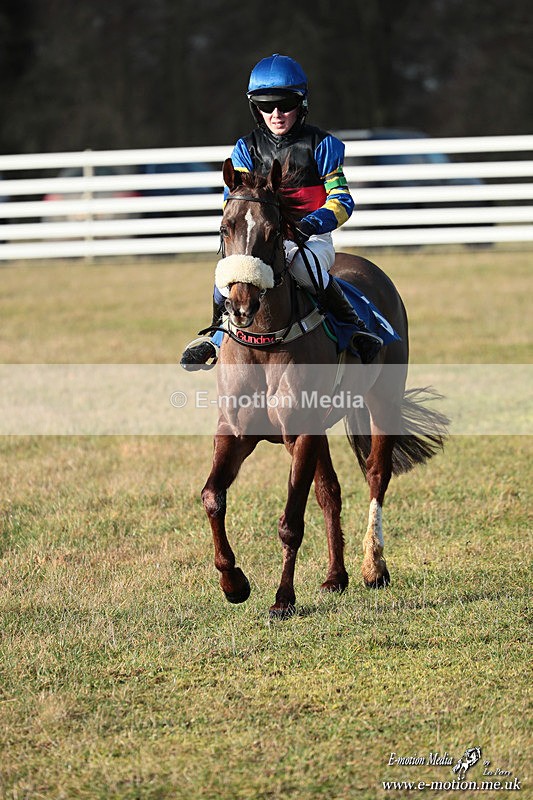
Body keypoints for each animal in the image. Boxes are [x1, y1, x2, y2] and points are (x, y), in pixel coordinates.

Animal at [201, 157, 448, 618]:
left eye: (273, 232)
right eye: (225, 227)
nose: (241, 305)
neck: (265, 342)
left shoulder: (301, 433)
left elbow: (291, 522)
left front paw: (283, 599)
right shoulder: (236, 432)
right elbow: (213, 496)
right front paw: (233, 583)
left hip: (382, 402)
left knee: (376, 475)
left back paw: (373, 566)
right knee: (330, 492)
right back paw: (336, 576)